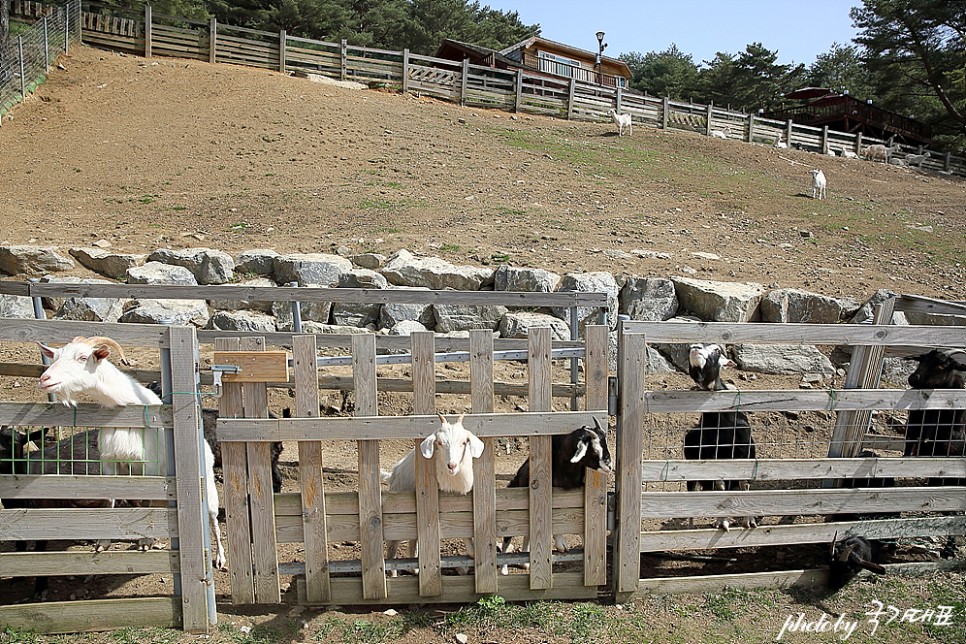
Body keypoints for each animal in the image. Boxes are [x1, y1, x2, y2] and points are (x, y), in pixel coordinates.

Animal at [37, 334, 227, 572]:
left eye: (82, 357)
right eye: (56, 356)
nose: (45, 379)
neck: (127, 405)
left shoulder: (150, 466)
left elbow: (148, 500)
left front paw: (145, 541)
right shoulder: (110, 462)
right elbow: (110, 500)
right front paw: (103, 542)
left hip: (208, 488)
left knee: (213, 520)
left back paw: (220, 557)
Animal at [384, 416, 488, 576]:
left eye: (464, 442)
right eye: (439, 443)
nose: (452, 466)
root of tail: (394, 472)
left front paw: (472, 554)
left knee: (413, 540)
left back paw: (415, 569)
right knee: (393, 543)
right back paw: (394, 573)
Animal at [500, 420, 612, 576]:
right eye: (594, 450)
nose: (609, 466)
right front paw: (561, 544)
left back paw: (525, 563)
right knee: (508, 537)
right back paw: (504, 568)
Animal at [684, 344, 760, 532]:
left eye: (717, 351)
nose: (694, 347)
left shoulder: (744, 454)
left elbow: (744, 485)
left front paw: (748, 521)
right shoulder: (714, 457)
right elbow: (720, 487)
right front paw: (722, 522)